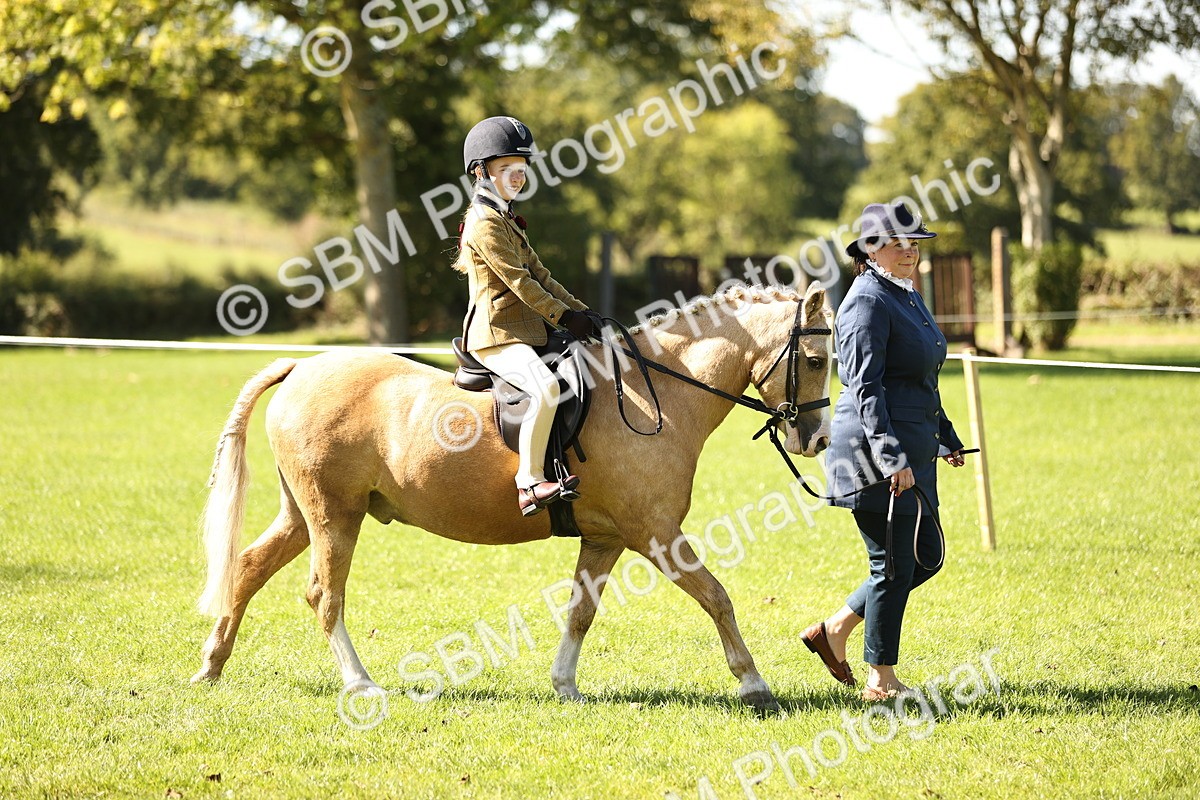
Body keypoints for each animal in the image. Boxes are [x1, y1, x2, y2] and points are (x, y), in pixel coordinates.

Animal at [191, 282, 833, 712]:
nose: (818, 439)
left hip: (304, 515)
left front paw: (565, 685)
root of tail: (301, 368)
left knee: (248, 567)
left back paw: (211, 665)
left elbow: (581, 611)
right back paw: (359, 683)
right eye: (816, 359)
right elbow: (717, 597)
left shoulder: (606, 538)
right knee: (325, 595)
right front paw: (754, 684)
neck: (653, 395)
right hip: (334, 517)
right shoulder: (655, 533)